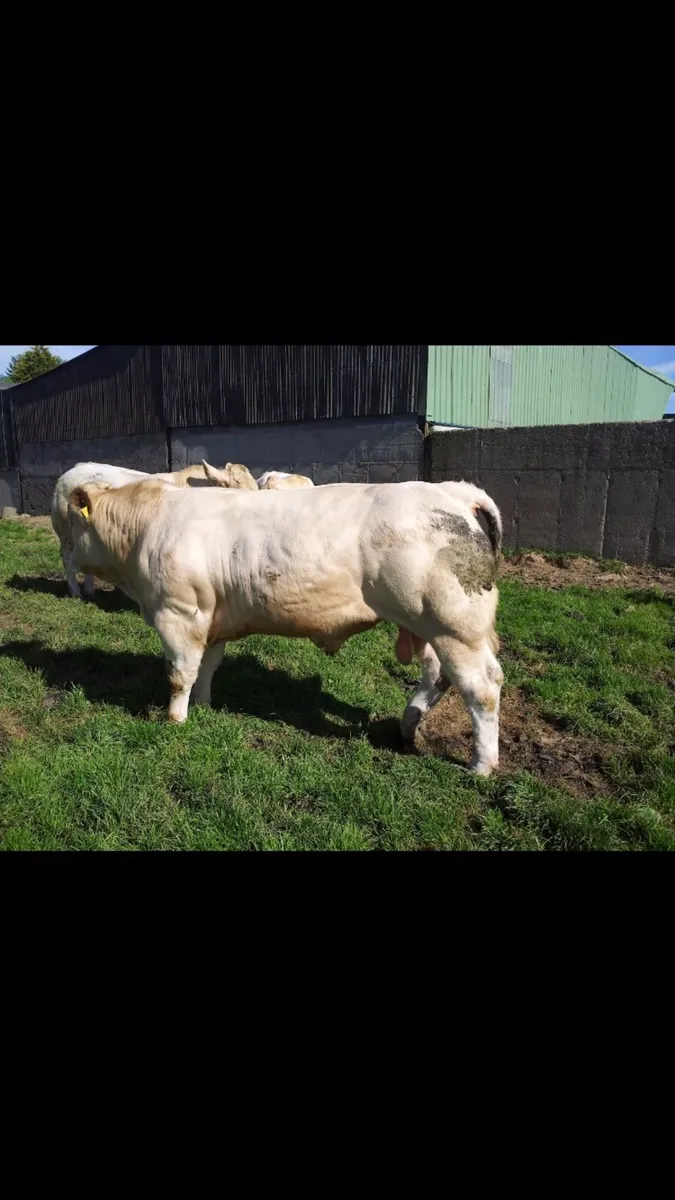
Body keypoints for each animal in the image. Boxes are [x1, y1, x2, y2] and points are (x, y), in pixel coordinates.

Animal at [66, 472, 499, 772]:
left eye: (75, 527)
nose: (67, 558)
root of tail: (450, 489)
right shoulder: (213, 618)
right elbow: (208, 667)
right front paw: (204, 705)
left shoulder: (179, 614)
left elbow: (179, 675)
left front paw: (176, 720)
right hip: (428, 627)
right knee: (440, 677)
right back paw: (408, 726)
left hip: (455, 627)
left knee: (482, 689)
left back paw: (480, 765)